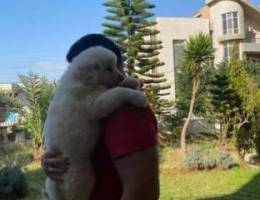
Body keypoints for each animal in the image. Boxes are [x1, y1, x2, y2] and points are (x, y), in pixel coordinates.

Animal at [43, 46, 147, 200]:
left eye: (115, 66)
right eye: (108, 68)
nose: (121, 77)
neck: (80, 79)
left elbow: (114, 87)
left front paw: (133, 81)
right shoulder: (95, 102)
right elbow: (117, 91)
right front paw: (139, 97)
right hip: (81, 175)